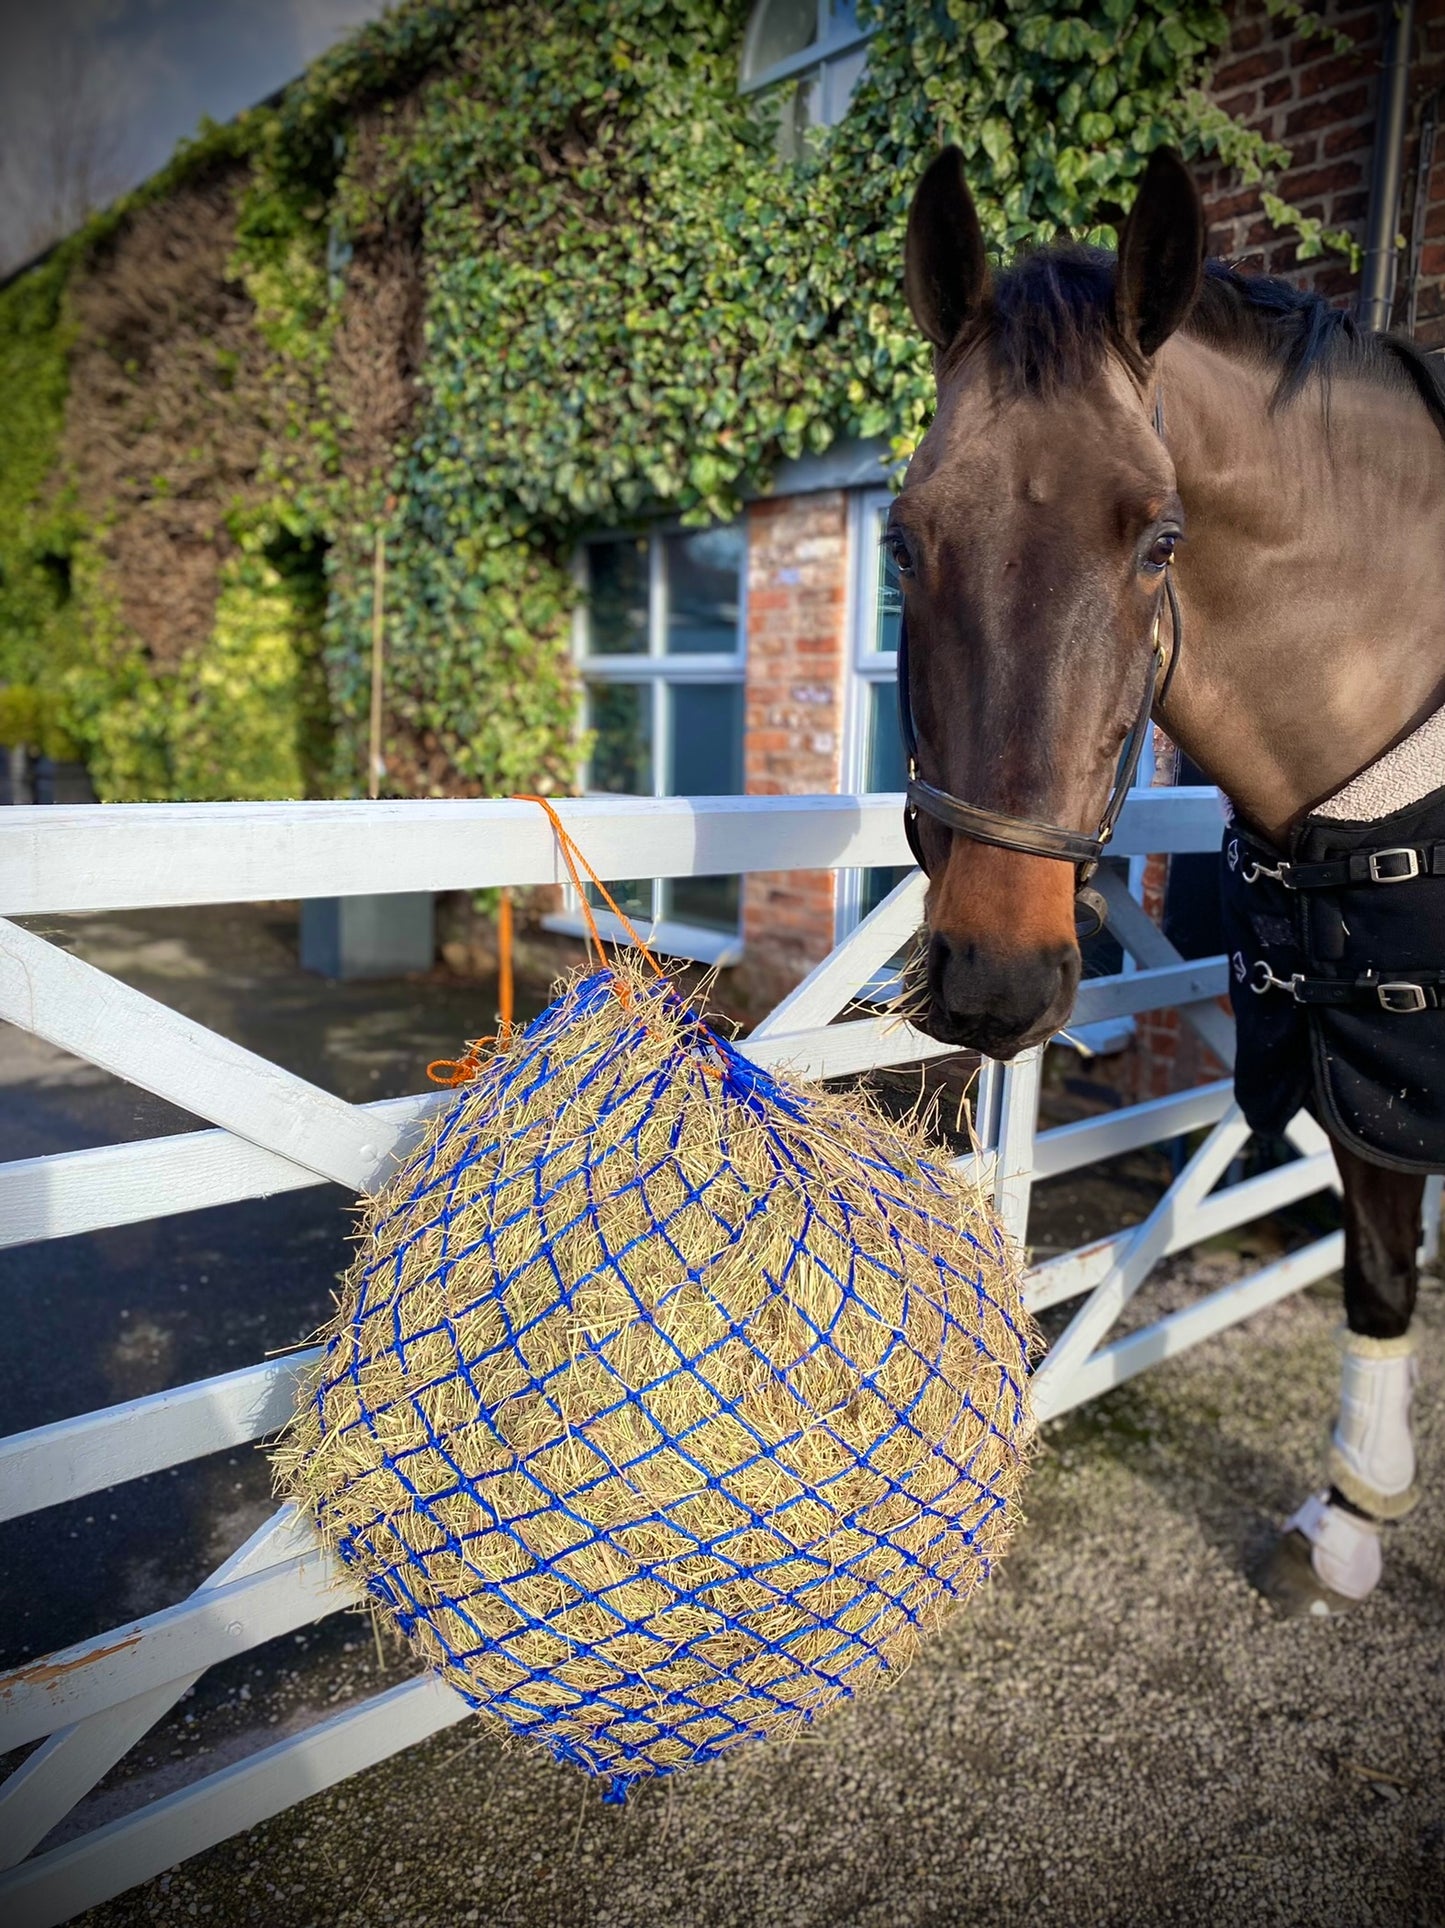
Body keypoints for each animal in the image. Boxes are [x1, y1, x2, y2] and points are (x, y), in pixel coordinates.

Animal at [891, 146, 1443, 1611]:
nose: (992, 970)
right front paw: (1349, 1525)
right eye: (903, 542)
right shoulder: (1365, 1063)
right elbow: (1379, 1270)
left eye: (1160, 540)